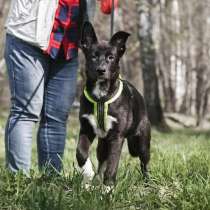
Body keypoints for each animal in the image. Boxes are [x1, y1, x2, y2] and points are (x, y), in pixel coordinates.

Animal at [76, 21, 150, 185]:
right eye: (93, 56)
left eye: (111, 57)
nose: (101, 70)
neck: (101, 97)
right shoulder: (86, 129)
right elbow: (81, 153)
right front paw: (88, 174)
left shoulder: (117, 137)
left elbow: (112, 166)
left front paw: (108, 188)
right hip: (103, 143)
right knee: (101, 161)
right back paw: (96, 181)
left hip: (141, 141)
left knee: (144, 162)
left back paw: (148, 182)